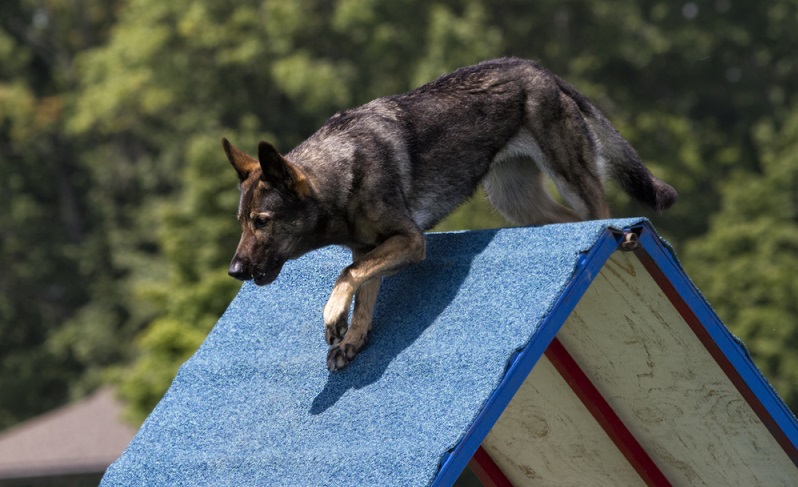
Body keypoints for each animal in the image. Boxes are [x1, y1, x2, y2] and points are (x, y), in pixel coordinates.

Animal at [222, 58, 680, 370]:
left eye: (262, 222)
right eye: (243, 224)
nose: (235, 270)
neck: (340, 174)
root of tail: (537, 70)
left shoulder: (409, 241)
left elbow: (347, 276)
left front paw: (334, 318)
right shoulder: (371, 247)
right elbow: (363, 286)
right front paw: (353, 338)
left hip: (570, 179)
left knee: (598, 215)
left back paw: (622, 234)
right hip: (518, 203)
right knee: (565, 222)